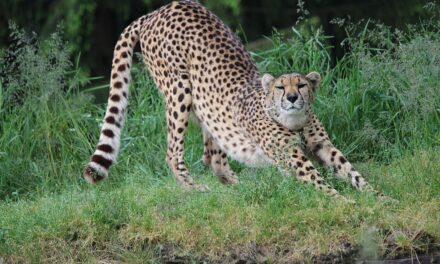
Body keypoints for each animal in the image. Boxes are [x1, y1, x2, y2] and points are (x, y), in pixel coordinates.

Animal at [83, 0, 382, 200]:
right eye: (280, 87)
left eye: (301, 85)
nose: (292, 98)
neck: (293, 121)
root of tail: (157, 11)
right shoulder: (291, 155)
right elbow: (316, 179)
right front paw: (343, 201)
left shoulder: (323, 146)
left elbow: (351, 171)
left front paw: (379, 197)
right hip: (180, 89)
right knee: (173, 152)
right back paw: (193, 188)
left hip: (206, 108)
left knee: (211, 157)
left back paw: (239, 187)